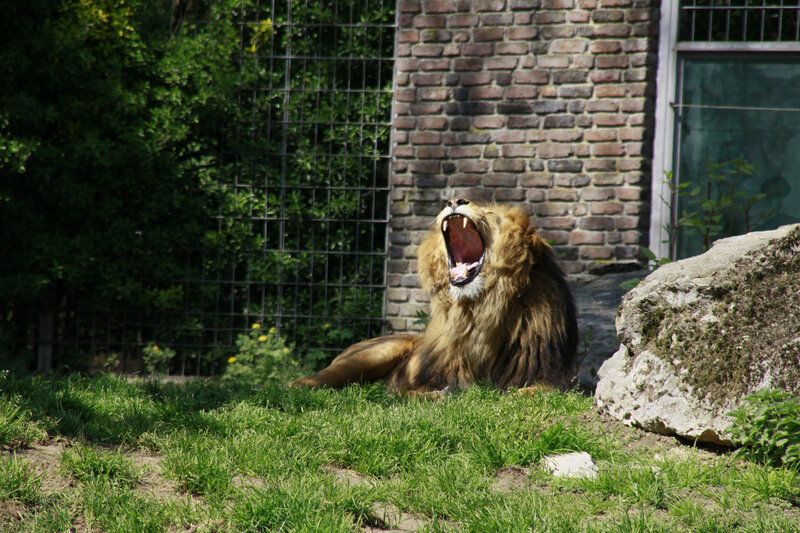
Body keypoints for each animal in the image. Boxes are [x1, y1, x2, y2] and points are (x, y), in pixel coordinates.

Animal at [290, 197, 578, 393]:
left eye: (490, 214)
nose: (454, 200)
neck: (478, 310)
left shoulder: (556, 377)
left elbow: (534, 392)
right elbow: (413, 393)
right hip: (375, 352)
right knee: (309, 380)